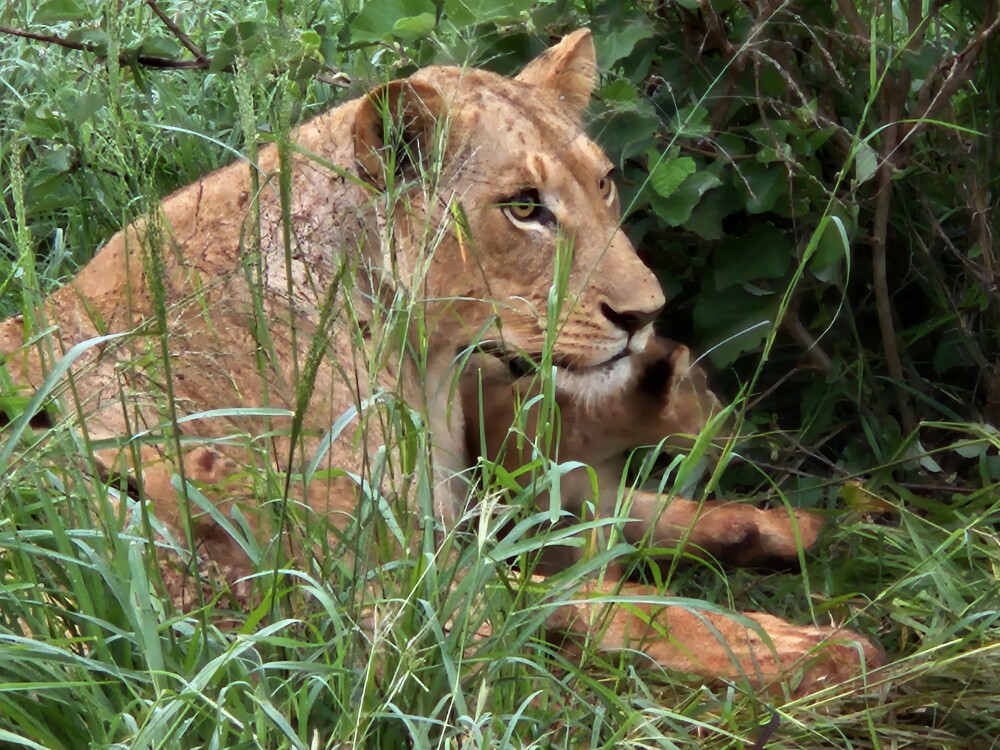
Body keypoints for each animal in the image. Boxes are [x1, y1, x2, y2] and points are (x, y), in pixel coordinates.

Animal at [0, 29, 882, 694]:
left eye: (604, 183)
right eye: (524, 209)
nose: (644, 315)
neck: (415, 359)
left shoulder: (456, 497)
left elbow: (614, 514)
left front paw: (781, 527)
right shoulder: (361, 581)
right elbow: (599, 600)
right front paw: (795, 648)